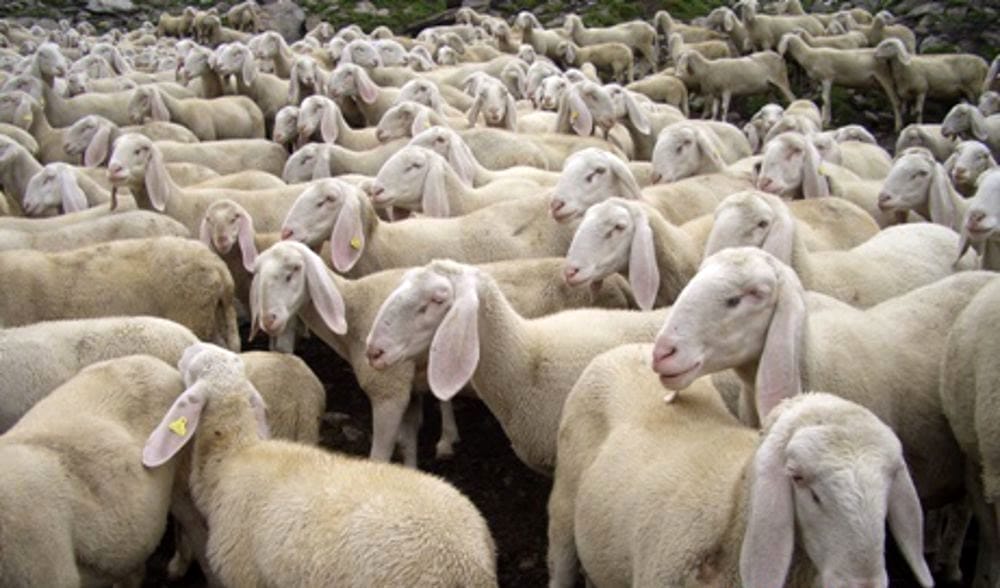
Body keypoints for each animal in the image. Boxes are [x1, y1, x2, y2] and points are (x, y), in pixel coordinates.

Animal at [548, 354, 933, 587]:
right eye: (799, 479)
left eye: (890, 481)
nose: (862, 583)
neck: (731, 509)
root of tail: (628, 348)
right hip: (564, 504)